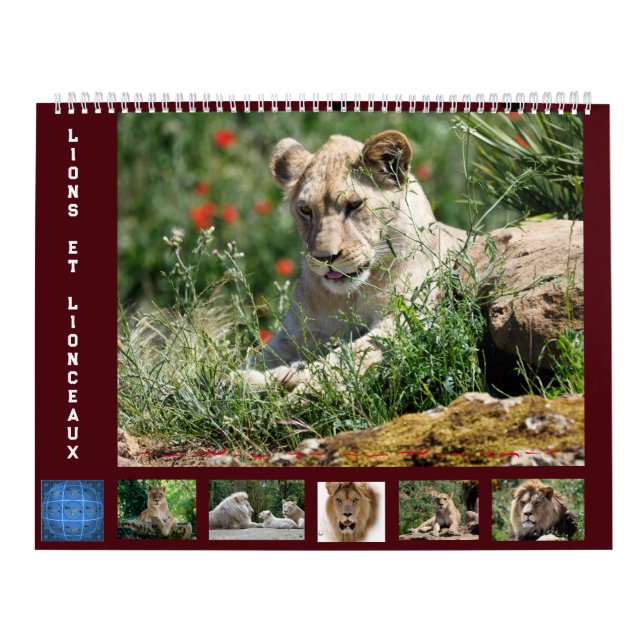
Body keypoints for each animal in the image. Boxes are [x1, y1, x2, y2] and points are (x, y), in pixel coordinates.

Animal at [244, 130, 465, 391]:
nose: (324, 257)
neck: (352, 296)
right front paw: (242, 378)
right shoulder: (296, 333)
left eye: (354, 205)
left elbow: (346, 357)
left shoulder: (409, 316)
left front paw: (301, 383)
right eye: (305, 210)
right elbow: (257, 360)